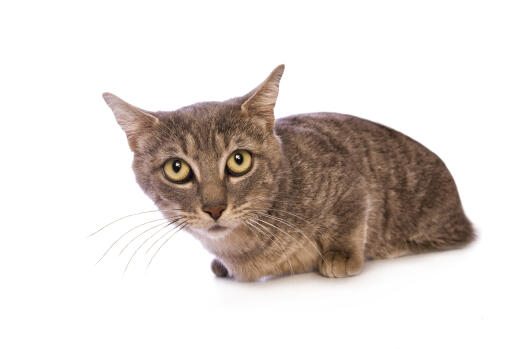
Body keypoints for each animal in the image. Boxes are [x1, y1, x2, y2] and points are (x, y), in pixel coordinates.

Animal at [104, 64, 476, 280]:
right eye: (177, 168)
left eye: (239, 160)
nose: (214, 208)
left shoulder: (352, 182)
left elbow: (353, 216)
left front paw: (342, 255)